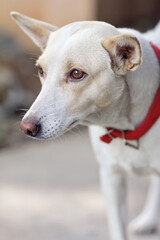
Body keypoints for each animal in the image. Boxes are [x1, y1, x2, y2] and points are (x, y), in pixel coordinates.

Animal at [11, 11, 160, 240]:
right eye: (41, 70)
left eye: (76, 74)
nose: (26, 127)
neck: (126, 127)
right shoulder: (111, 178)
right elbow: (117, 228)